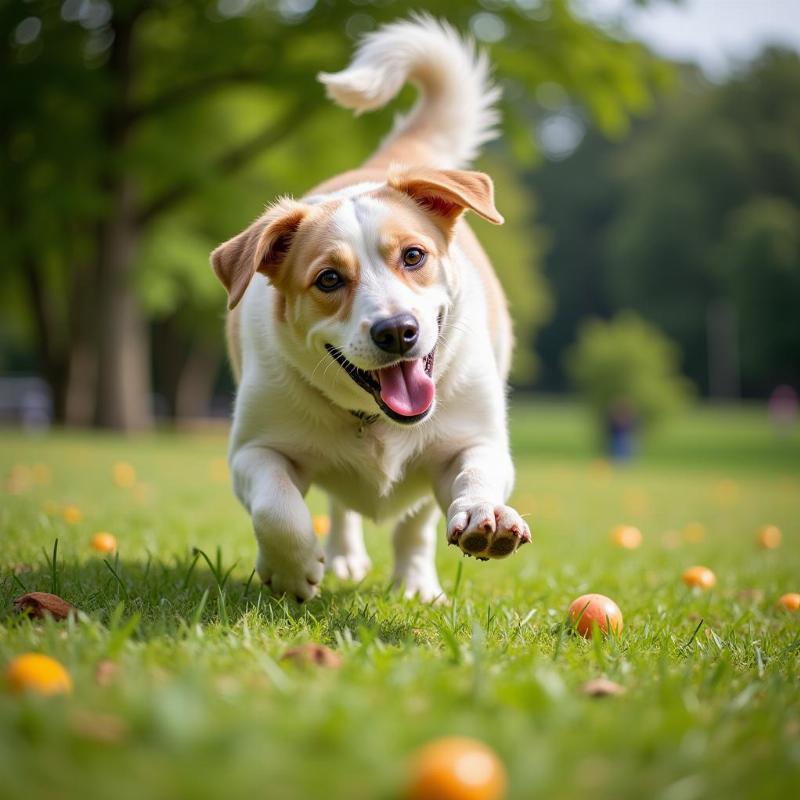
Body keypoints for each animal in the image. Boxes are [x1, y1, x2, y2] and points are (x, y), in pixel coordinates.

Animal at [211, 15, 532, 604]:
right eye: (329, 279)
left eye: (414, 256)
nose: (397, 331)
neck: (374, 422)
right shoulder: (253, 451)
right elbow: (277, 508)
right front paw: (292, 570)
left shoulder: (473, 441)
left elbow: (474, 476)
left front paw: (486, 516)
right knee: (340, 509)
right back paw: (343, 557)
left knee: (414, 525)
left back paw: (415, 584)